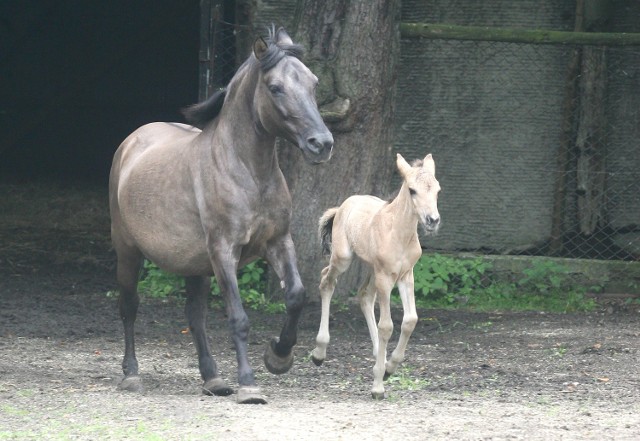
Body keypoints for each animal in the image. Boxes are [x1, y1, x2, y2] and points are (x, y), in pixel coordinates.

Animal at [108, 27, 332, 404]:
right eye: (275, 87)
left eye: (314, 83)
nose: (322, 144)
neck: (248, 172)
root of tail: (131, 142)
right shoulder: (224, 250)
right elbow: (238, 318)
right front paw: (249, 384)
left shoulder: (278, 242)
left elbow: (296, 296)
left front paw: (278, 356)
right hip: (128, 251)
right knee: (129, 306)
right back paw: (132, 374)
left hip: (194, 263)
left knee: (195, 316)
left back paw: (213, 379)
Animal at [312, 153, 440, 398]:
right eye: (412, 190)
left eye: (438, 190)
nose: (432, 220)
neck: (399, 235)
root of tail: (342, 207)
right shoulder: (385, 277)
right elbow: (387, 326)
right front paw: (378, 385)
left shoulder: (406, 275)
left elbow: (410, 320)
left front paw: (389, 367)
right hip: (344, 258)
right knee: (325, 281)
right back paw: (319, 352)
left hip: (372, 268)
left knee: (364, 295)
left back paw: (376, 353)